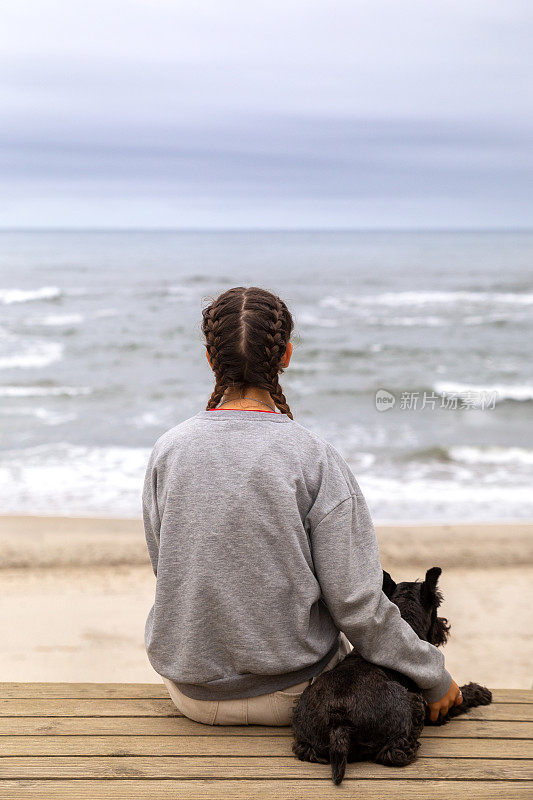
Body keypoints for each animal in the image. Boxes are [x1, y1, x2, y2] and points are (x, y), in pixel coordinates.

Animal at [290, 564, 490, 784]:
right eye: (437, 607)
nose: (444, 625)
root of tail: (339, 722)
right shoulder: (434, 708)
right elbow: (461, 698)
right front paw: (479, 691)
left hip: (304, 730)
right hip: (413, 705)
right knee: (393, 754)